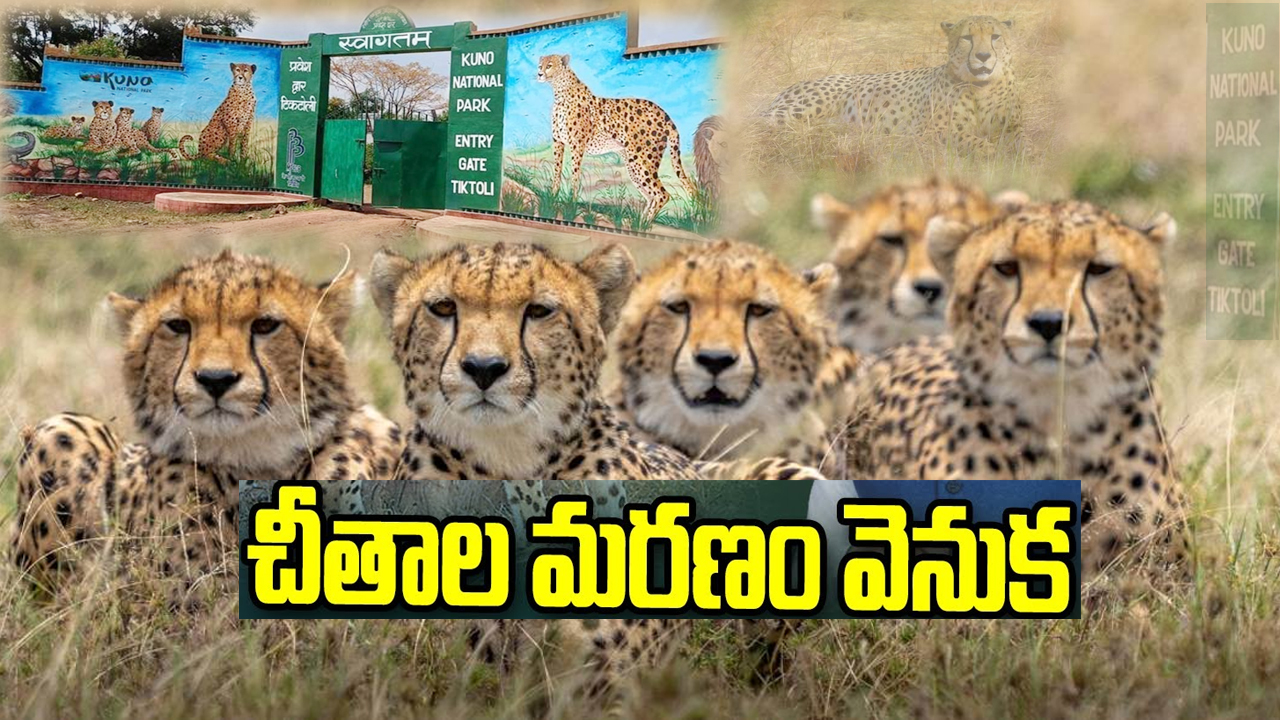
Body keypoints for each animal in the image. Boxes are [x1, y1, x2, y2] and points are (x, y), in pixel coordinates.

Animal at [536, 53, 698, 224]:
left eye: (549, 66)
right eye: (540, 65)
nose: (539, 74)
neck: (560, 90)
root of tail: (664, 113)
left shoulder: (577, 145)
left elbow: (574, 175)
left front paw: (571, 203)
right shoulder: (558, 142)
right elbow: (557, 171)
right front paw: (553, 197)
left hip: (642, 161)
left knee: (662, 194)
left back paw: (644, 224)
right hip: (634, 165)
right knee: (651, 195)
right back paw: (638, 223)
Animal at [765, 16, 1021, 151]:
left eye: (995, 36)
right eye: (967, 38)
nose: (983, 56)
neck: (981, 87)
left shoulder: (1012, 127)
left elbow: (1018, 142)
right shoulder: (930, 131)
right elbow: (970, 139)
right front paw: (993, 153)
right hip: (798, 110)